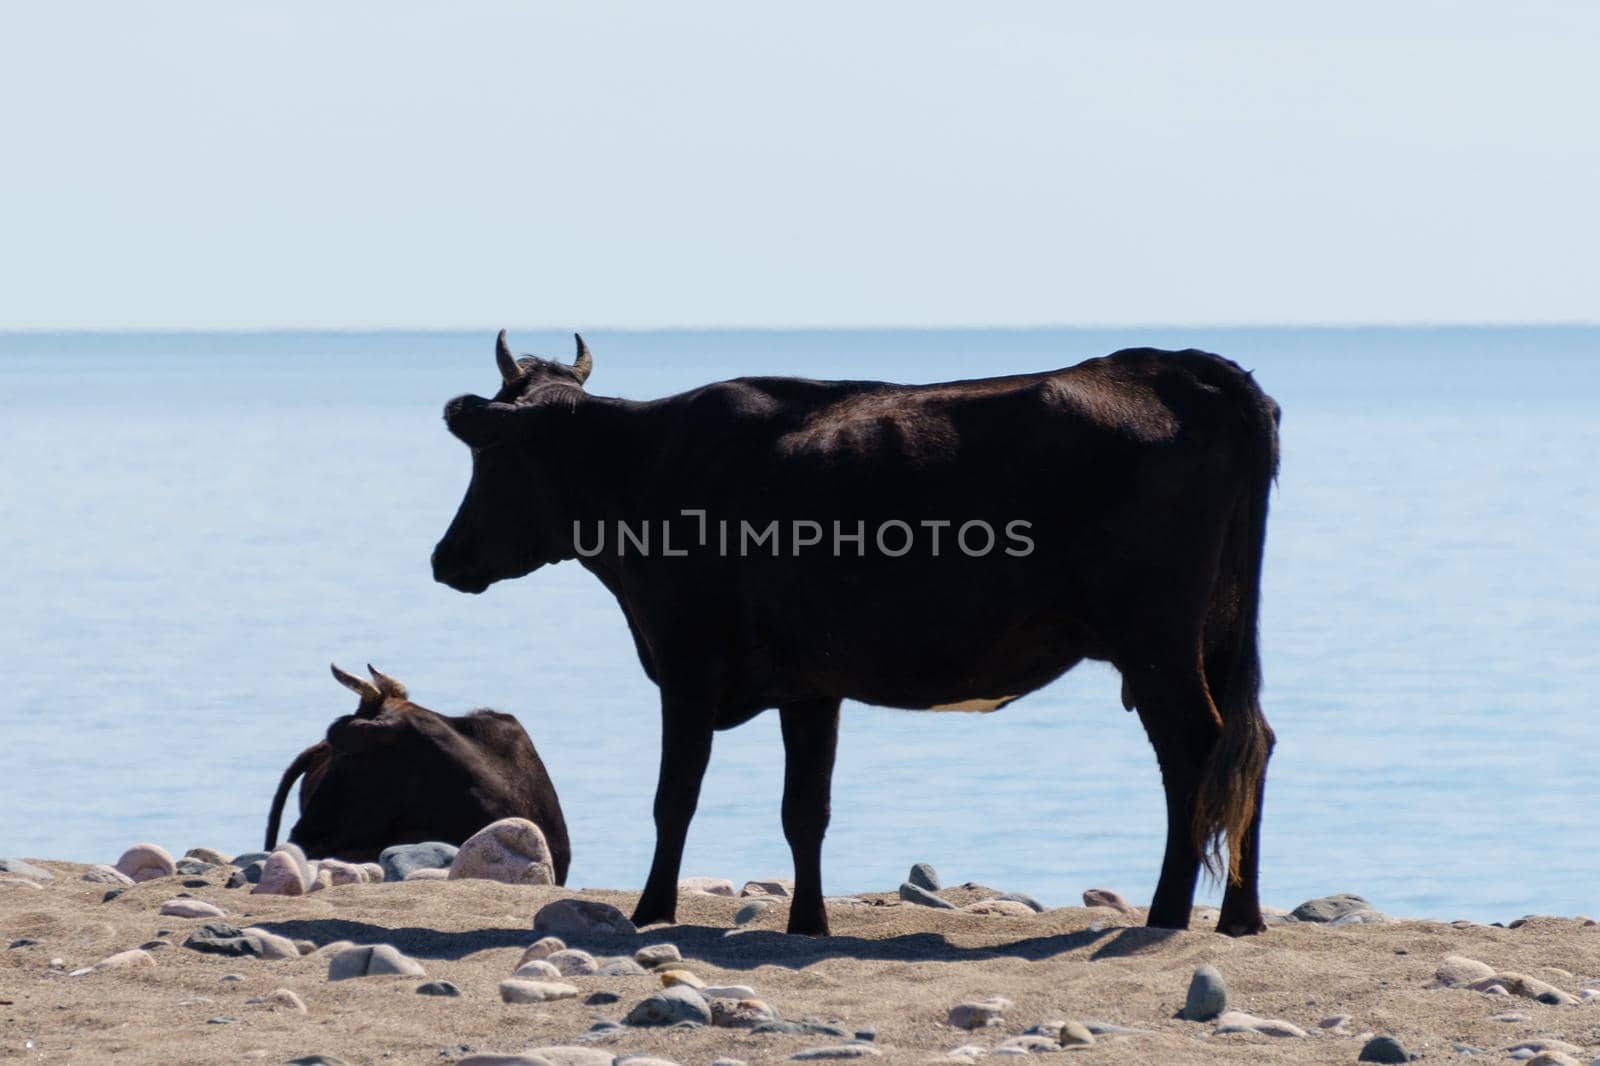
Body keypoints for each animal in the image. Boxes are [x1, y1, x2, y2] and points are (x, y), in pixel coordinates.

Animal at [432, 328, 1280, 934]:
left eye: (490, 457)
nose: (446, 558)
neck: (646, 467)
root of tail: (1185, 367)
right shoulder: (809, 683)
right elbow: (805, 810)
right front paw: (808, 924)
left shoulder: (686, 657)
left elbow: (676, 795)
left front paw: (650, 912)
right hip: (1214, 636)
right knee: (1249, 744)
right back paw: (1238, 917)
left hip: (1156, 641)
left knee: (1198, 751)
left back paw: (1172, 914)